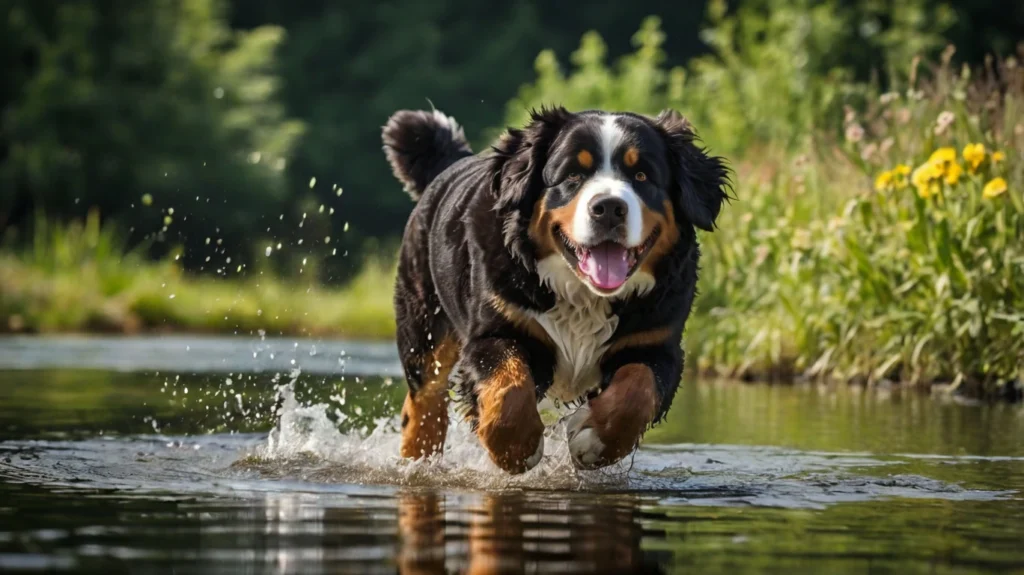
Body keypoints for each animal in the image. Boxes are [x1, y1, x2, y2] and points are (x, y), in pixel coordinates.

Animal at [382, 105, 729, 472]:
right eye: (573, 175)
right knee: (425, 400)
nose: (609, 208)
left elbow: (636, 389)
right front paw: (516, 445)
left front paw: (594, 439)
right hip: (423, 328)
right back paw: (417, 459)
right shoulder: (494, 331)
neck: (584, 296)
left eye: (642, 176)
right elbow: (509, 384)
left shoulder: (656, 345)